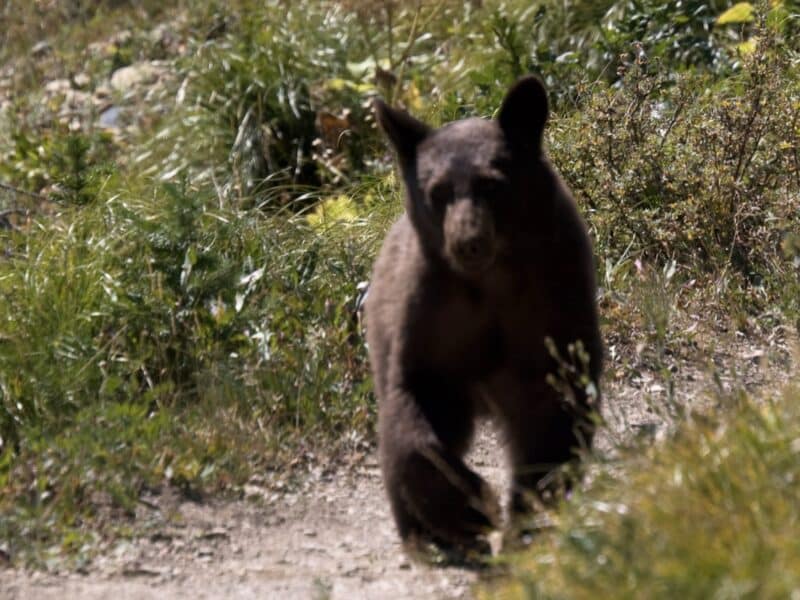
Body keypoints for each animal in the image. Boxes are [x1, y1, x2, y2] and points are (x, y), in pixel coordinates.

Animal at [365, 76, 602, 556]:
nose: (468, 242)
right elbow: (416, 407)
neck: (491, 282)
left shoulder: (553, 297)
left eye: (493, 185)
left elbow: (553, 407)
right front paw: (468, 510)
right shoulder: (432, 311)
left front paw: (527, 515)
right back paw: (419, 533)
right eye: (437, 192)